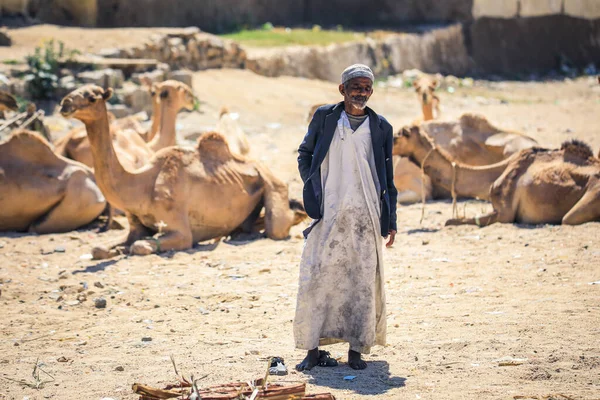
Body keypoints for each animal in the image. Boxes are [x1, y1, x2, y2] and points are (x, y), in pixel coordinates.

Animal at [59, 85, 310, 258]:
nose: (64, 103)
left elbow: (140, 246)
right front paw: (114, 250)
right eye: (75, 91)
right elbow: (100, 248)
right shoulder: (136, 227)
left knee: (276, 225)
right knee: (247, 225)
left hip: (273, 184)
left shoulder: (180, 230)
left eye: (92, 97)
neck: (140, 185)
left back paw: (297, 214)